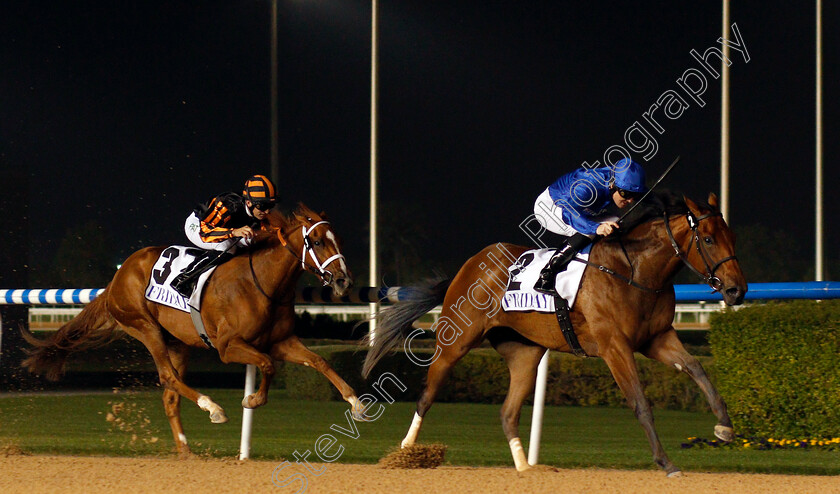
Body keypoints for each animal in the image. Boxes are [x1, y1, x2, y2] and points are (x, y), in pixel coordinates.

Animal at [21, 204, 364, 456]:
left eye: (339, 240)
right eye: (317, 242)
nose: (344, 280)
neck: (262, 282)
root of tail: (116, 279)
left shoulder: (281, 340)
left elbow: (318, 361)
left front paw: (356, 403)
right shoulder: (228, 347)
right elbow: (267, 364)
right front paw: (251, 400)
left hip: (178, 342)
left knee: (170, 395)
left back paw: (186, 450)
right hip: (145, 327)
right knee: (168, 377)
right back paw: (212, 408)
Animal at [364, 192, 744, 474]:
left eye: (732, 237)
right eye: (708, 239)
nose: (737, 290)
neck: (635, 270)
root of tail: (468, 267)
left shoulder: (657, 338)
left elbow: (696, 369)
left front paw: (724, 427)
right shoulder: (614, 346)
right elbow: (640, 402)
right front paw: (666, 463)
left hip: (525, 353)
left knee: (508, 413)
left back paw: (526, 470)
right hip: (456, 341)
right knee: (426, 396)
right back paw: (405, 453)